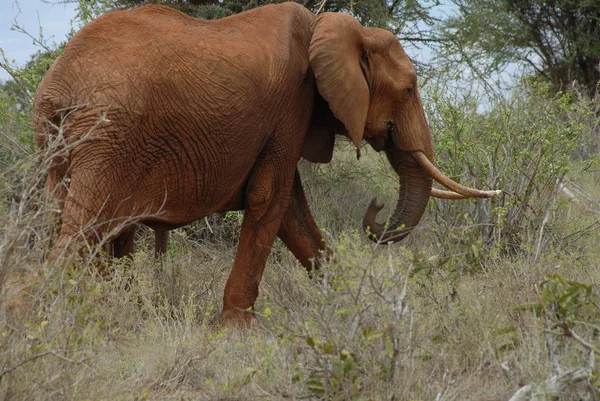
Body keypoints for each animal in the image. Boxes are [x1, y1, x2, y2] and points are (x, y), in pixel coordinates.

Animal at [35, 2, 500, 324]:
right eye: (408, 89)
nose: (377, 206)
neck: (332, 26)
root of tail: (60, 87)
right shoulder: (291, 105)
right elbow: (270, 198)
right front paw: (238, 329)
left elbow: (293, 209)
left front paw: (352, 305)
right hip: (109, 136)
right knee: (83, 228)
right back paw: (64, 317)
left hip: (61, 144)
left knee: (72, 219)